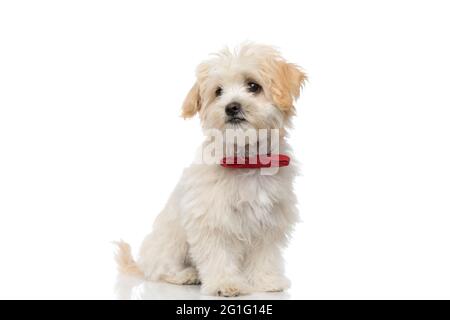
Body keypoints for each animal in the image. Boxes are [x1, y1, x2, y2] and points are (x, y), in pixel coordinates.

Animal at [114, 42, 308, 298]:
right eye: (218, 91)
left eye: (253, 86)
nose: (232, 107)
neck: (246, 161)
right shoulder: (212, 219)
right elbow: (218, 255)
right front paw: (224, 284)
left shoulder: (270, 220)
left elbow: (264, 255)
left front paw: (266, 281)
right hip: (170, 241)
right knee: (160, 269)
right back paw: (185, 275)